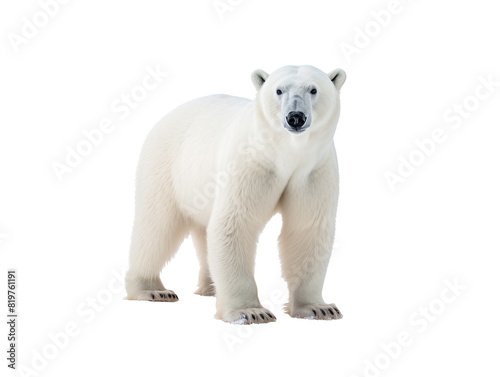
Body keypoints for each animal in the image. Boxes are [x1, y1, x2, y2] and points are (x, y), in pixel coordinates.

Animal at [125, 64, 346, 324]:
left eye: (313, 89)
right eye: (279, 90)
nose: (295, 117)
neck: (286, 153)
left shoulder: (313, 170)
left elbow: (307, 229)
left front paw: (319, 308)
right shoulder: (250, 162)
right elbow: (236, 223)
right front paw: (250, 312)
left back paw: (210, 287)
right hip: (165, 165)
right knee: (157, 225)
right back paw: (153, 290)